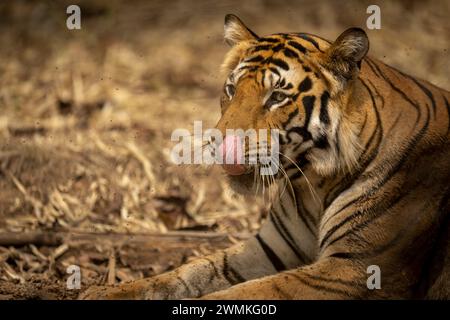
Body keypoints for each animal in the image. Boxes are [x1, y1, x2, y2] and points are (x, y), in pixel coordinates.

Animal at [81, 14, 450, 300]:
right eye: (231, 89)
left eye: (276, 97)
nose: (220, 142)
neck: (313, 183)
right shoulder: (270, 248)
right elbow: (189, 271)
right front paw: (104, 292)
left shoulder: (357, 268)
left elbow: (254, 291)